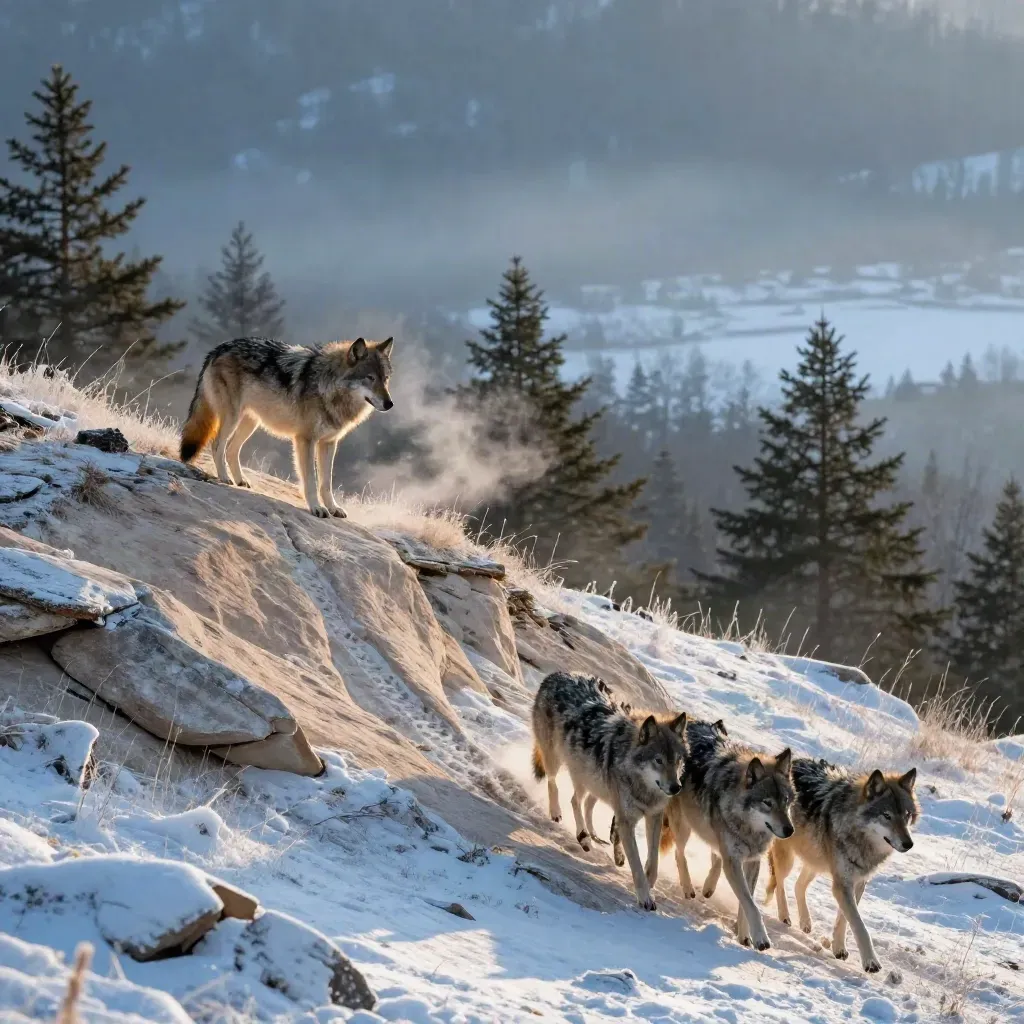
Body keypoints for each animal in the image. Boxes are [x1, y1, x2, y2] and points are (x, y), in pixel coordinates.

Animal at [179, 336, 394, 518]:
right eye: (370, 378)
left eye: (385, 379)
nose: (389, 404)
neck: (328, 387)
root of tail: (219, 348)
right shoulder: (305, 440)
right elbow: (311, 480)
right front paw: (317, 508)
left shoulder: (329, 443)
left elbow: (326, 483)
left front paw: (333, 508)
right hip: (232, 418)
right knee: (217, 445)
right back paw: (225, 478)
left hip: (251, 422)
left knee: (232, 449)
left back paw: (240, 480)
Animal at [531, 672, 687, 911]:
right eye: (658, 761)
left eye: (677, 760)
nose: (676, 787)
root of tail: (556, 674)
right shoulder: (626, 820)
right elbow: (636, 864)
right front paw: (645, 897)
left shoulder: (654, 816)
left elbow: (653, 860)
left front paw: (650, 882)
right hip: (557, 760)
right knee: (556, 785)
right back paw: (566, 822)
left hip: (592, 782)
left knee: (580, 801)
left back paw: (588, 836)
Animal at [655, 722, 793, 951]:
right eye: (767, 803)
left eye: (786, 802)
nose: (790, 830)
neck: (749, 829)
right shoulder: (734, 859)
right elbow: (751, 905)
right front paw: (761, 938)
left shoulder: (752, 861)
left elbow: (746, 903)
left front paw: (744, 936)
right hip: (684, 826)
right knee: (679, 853)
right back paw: (689, 888)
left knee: (714, 858)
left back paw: (708, 887)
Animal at [763, 758, 918, 973]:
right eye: (886, 815)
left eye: (907, 815)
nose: (908, 844)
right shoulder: (842, 884)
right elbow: (859, 926)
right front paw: (871, 962)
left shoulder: (857, 882)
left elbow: (844, 918)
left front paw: (839, 948)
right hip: (789, 860)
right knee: (780, 882)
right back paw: (785, 916)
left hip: (816, 862)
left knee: (798, 885)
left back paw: (805, 922)